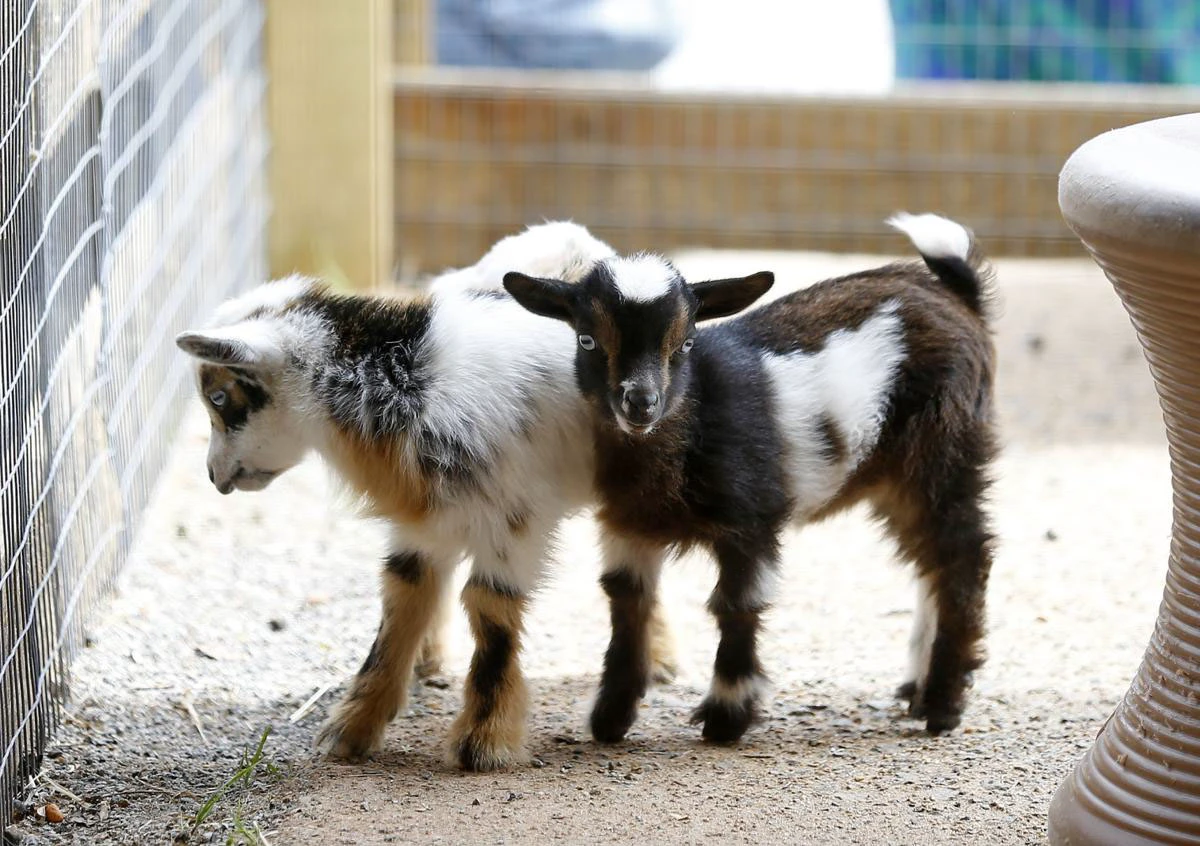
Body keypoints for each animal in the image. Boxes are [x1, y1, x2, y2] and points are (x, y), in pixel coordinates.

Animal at [174, 222, 677, 770]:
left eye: (220, 397)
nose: (214, 475)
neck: (406, 380)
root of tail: (566, 234)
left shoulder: (512, 520)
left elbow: (490, 609)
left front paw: (484, 741)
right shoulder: (423, 516)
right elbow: (403, 599)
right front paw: (353, 727)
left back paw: (659, 660)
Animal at [504, 213, 997, 744]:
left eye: (686, 342)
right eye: (587, 340)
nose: (640, 403)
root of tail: (956, 294)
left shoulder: (752, 520)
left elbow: (736, 604)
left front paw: (726, 716)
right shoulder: (627, 524)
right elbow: (627, 600)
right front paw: (610, 716)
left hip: (946, 448)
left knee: (963, 555)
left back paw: (943, 704)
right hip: (896, 479)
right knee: (929, 561)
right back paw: (918, 690)